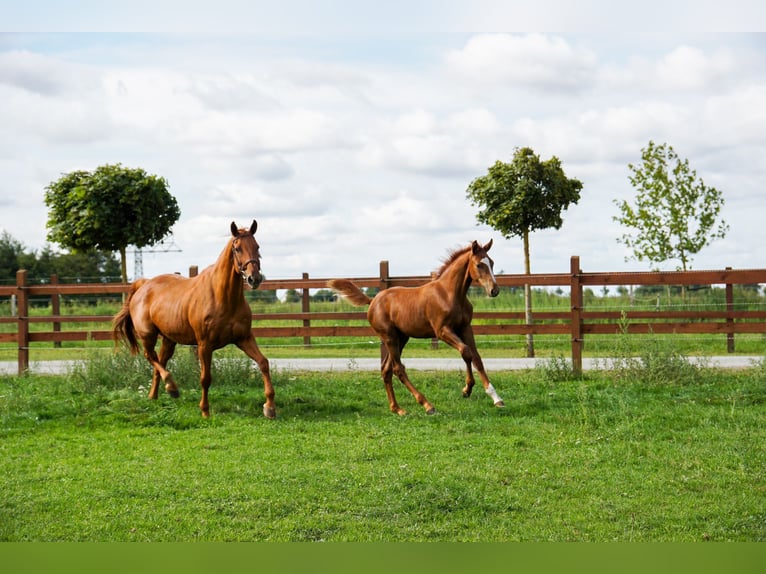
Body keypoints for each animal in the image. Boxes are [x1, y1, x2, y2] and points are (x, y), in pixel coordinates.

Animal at [112, 220, 276, 419]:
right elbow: (205, 378)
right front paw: (205, 411)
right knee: (150, 357)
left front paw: (270, 407)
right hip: (148, 335)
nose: (254, 278)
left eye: (257, 246)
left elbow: (263, 363)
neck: (223, 297)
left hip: (169, 340)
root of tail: (143, 285)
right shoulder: (204, 345)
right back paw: (172, 387)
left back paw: (155, 395)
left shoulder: (244, 338)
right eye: (237, 248)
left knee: (160, 361)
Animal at [328, 239, 505, 415]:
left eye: (492, 263)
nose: (494, 290)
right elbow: (466, 352)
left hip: (401, 338)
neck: (450, 294)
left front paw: (496, 398)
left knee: (386, 369)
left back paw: (397, 408)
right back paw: (427, 405)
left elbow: (476, 358)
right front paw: (466, 389)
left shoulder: (466, 328)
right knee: (398, 368)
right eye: (479, 265)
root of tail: (372, 301)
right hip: (389, 337)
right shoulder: (442, 331)